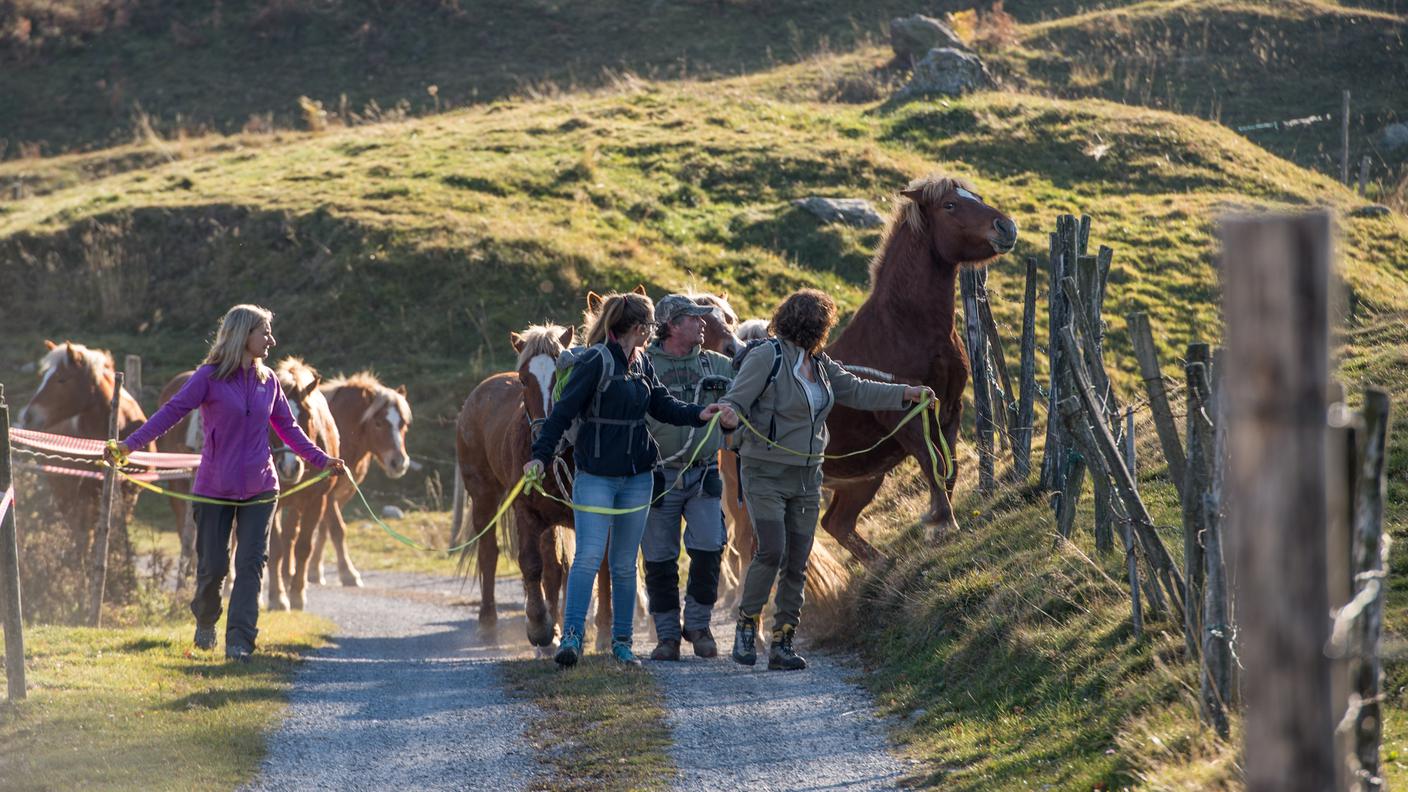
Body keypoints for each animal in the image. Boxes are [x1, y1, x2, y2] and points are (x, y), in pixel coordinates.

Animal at [18, 342, 148, 589]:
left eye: (61, 379)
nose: (27, 417)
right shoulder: (86, 495)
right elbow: (90, 535)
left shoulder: (130, 496)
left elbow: (120, 536)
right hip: (68, 494)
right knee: (80, 533)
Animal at [264, 357, 339, 611]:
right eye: (271, 422)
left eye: (307, 417)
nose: (289, 467)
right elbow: (275, 550)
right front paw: (278, 597)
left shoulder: (317, 501)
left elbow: (303, 547)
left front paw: (297, 594)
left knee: (292, 538)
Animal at [308, 372, 411, 586]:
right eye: (378, 423)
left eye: (402, 424)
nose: (399, 462)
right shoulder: (328, 494)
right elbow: (337, 529)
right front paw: (348, 573)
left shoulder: (342, 493)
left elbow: (324, 530)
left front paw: (314, 570)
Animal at [822, 172, 1019, 560]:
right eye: (950, 205)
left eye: (976, 197)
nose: (1006, 227)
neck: (904, 327)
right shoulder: (906, 417)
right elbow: (934, 464)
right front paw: (941, 522)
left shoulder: (949, 408)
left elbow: (948, 467)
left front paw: (941, 525)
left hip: (863, 476)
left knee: (837, 523)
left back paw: (882, 564)